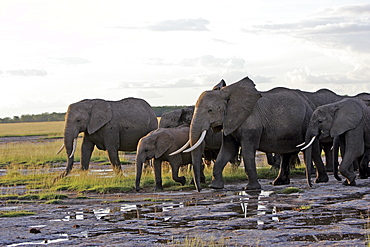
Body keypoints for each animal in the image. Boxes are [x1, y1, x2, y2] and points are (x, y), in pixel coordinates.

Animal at [183, 77, 330, 191]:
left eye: (210, 110)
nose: (199, 189)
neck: (228, 92)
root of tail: (309, 102)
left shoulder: (251, 125)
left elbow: (247, 151)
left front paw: (251, 189)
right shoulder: (230, 122)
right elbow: (227, 151)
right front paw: (215, 187)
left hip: (308, 121)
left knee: (313, 149)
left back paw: (320, 181)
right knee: (286, 152)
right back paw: (279, 183)